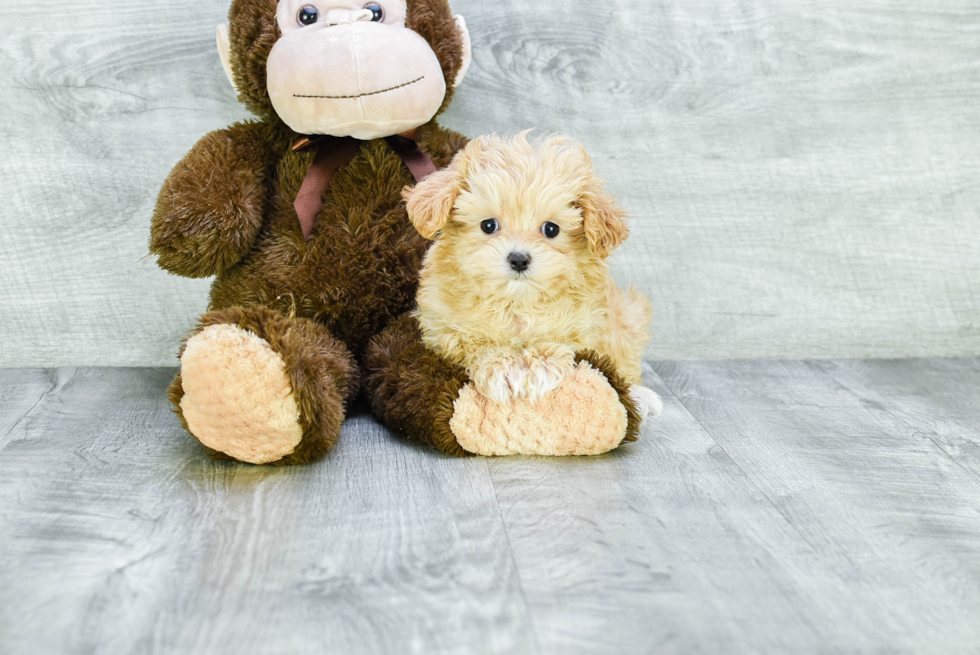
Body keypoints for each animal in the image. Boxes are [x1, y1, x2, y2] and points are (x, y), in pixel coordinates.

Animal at [402, 134, 664, 420]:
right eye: (488, 225)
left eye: (551, 229)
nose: (518, 259)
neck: (516, 303)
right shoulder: (441, 330)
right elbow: (474, 343)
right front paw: (503, 367)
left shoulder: (589, 323)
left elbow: (565, 343)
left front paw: (539, 367)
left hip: (628, 314)